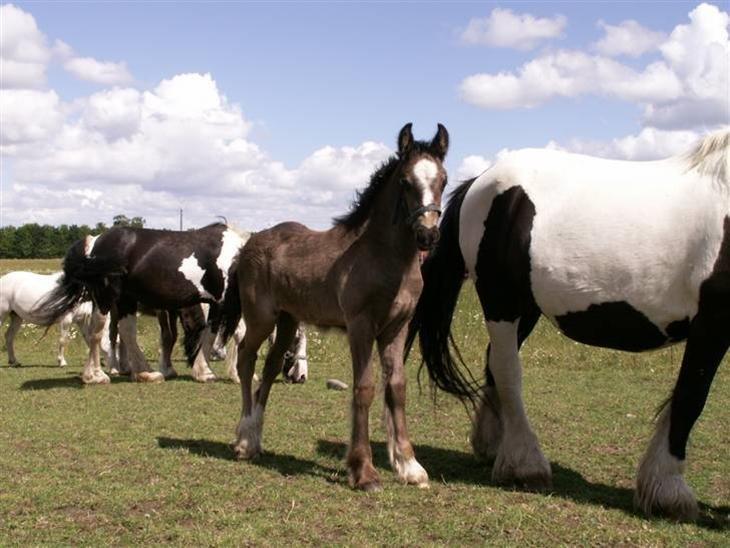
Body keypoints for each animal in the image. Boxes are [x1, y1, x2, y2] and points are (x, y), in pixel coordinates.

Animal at [40, 223, 250, 386]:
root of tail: (94, 242)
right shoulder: (220, 302)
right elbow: (218, 334)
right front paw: (206, 372)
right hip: (106, 299)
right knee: (98, 333)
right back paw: (96, 376)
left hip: (126, 301)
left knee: (126, 332)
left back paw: (144, 373)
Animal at [220, 124, 450, 492]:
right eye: (405, 181)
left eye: (443, 179)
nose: (428, 235)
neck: (385, 258)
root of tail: (248, 243)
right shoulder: (360, 326)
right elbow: (365, 388)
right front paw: (363, 471)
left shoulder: (396, 328)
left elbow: (396, 388)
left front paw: (409, 466)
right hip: (260, 319)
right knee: (245, 360)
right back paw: (243, 441)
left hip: (288, 321)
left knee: (269, 369)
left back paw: (255, 439)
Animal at [410, 131, 728, 520]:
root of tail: (482, 180)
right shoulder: (713, 323)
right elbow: (690, 397)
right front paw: (668, 492)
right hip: (502, 303)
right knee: (507, 370)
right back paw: (525, 465)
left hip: (526, 308)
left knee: (493, 365)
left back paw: (494, 445)